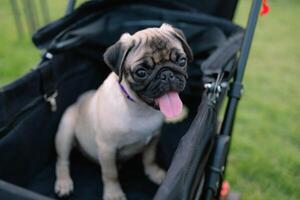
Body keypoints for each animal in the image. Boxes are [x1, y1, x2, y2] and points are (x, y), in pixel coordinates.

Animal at [54, 23, 192, 200]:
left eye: (182, 61)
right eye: (141, 72)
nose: (167, 74)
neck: (140, 108)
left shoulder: (154, 138)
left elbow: (149, 158)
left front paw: (154, 173)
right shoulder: (107, 148)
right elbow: (110, 174)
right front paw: (114, 193)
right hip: (65, 132)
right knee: (62, 161)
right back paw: (64, 183)